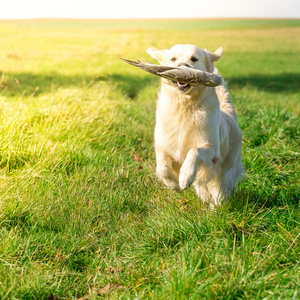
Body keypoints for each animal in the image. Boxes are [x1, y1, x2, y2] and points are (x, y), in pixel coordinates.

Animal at [147, 44, 244, 206]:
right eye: (173, 59)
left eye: (194, 59)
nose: (182, 67)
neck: (184, 106)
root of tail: (229, 113)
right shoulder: (162, 146)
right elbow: (163, 168)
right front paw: (174, 185)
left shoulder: (212, 150)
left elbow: (194, 151)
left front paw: (185, 177)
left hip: (224, 171)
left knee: (220, 193)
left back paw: (215, 209)